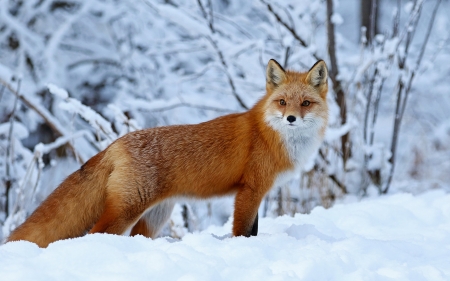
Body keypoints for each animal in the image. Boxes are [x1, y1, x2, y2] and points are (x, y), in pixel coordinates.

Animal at [6, 58, 330, 245]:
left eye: (305, 103)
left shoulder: (258, 192)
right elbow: (242, 230)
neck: (270, 135)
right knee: (96, 234)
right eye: (282, 102)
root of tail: (116, 143)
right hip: (127, 210)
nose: (291, 119)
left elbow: (254, 230)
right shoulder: (250, 190)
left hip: (154, 217)